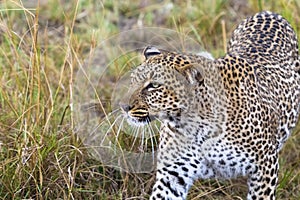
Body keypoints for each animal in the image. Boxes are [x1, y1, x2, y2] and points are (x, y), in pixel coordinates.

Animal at [120, 11, 300, 200]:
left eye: (154, 85)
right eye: (133, 79)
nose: (123, 106)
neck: (195, 126)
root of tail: (267, 12)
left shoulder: (265, 166)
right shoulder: (172, 175)